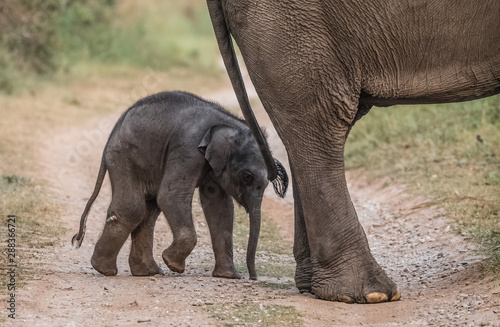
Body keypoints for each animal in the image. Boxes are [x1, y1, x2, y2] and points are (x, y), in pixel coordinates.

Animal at [72, 91, 288, 280]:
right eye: (247, 177)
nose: (252, 277)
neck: (230, 124)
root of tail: (112, 135)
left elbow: (219, 206)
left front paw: (229, 276)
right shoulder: (188, 147)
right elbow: (171, 196)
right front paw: (174, 265)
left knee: (149, 211)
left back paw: (147, 272)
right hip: (124, 157)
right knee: (133, 208)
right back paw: (105, 269)